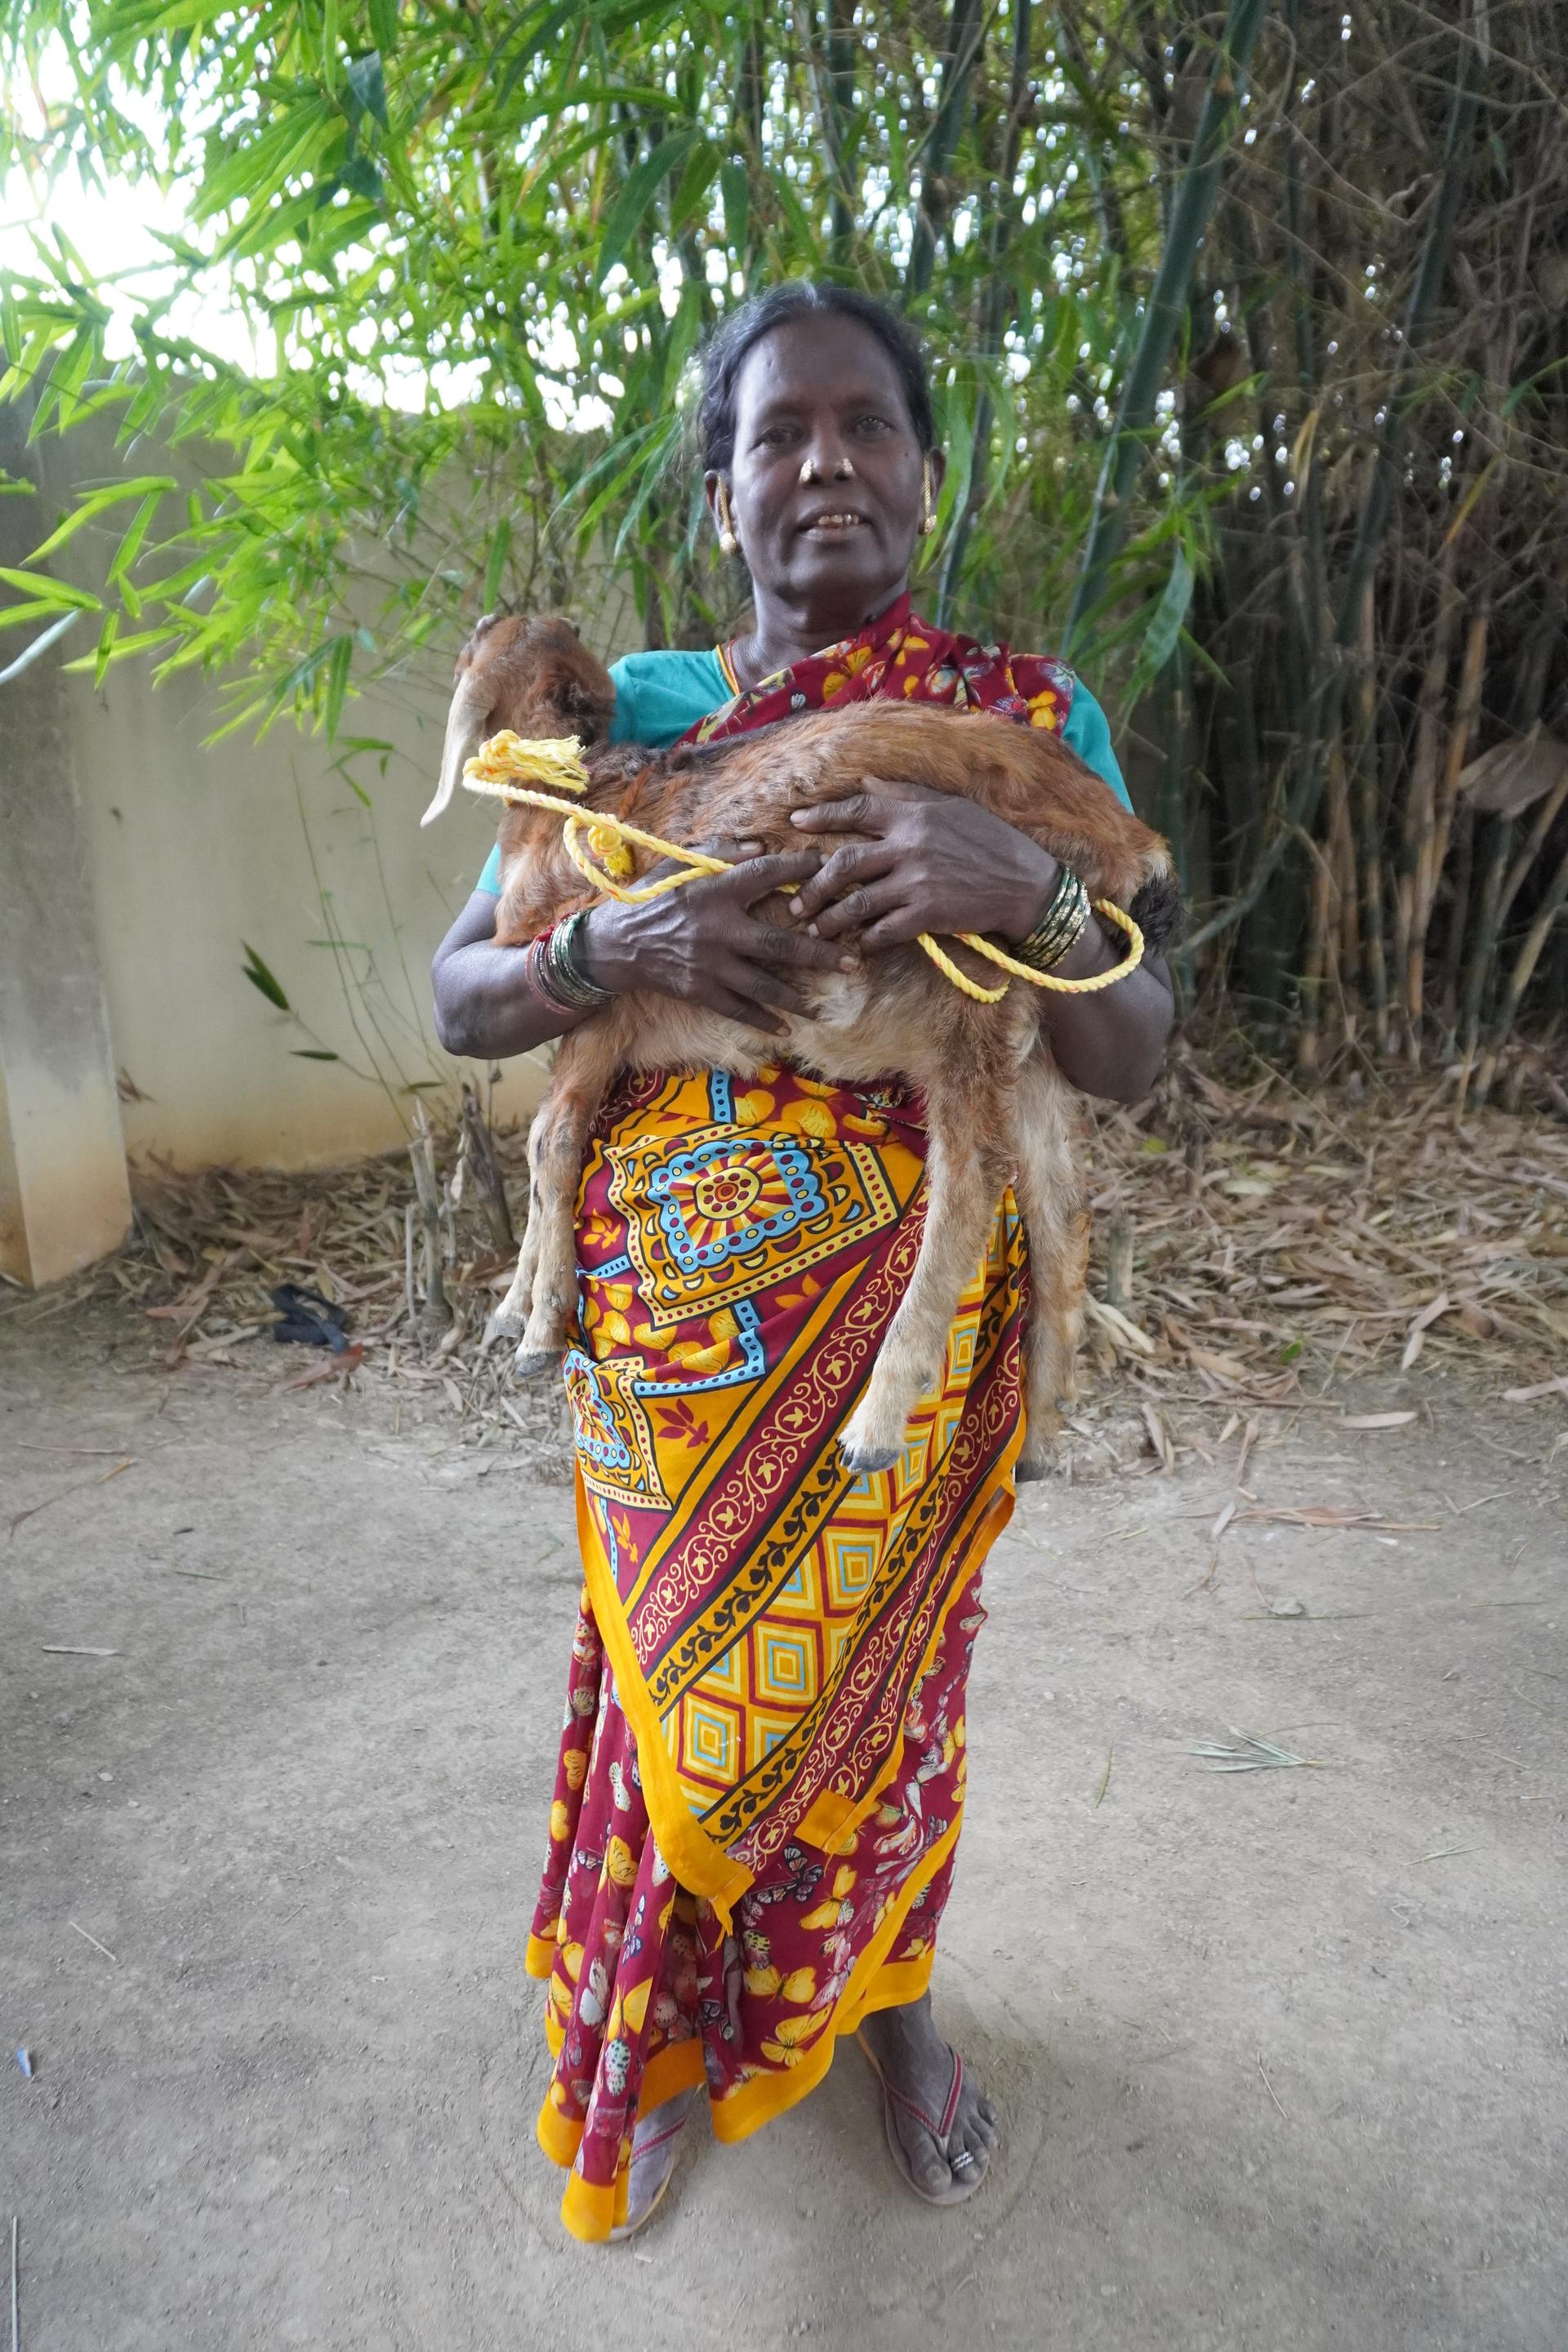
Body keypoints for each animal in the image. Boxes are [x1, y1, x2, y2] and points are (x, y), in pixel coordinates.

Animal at [425, 613, 1179, 1477]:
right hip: (1029, 1029)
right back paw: (1045, 1428)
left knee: (976, 1180)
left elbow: (551, 1142)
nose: (481, 625)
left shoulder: (604, 1013)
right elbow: (545, 1146)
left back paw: (878, 1424)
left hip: (966, 975)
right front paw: (513, 1308)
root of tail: (1129, 841)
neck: (569, 798)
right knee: (1061, 1202)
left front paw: (540, 1331)